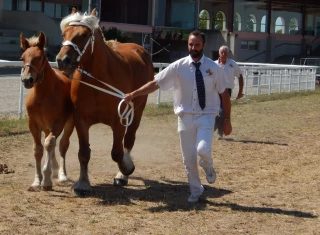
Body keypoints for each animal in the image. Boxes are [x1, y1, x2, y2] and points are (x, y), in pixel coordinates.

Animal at [20, 31, 74, 191]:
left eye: (39, 57)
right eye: (22, 58)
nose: (27, 80)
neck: (43, 96)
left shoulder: (58, 123)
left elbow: (50, 144)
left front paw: (47, 180)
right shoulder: (33, 124)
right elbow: (38, 149)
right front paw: (37, 181)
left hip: (69, 123)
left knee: (62, 145)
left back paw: (62, 175)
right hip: (45, 126)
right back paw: (56, 170)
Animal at [56, 9, 154, 196]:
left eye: (84, 35)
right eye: (64, 34)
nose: (62, 60)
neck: (99, 80)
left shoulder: (119, 121)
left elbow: (117, 153)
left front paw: (126, 169)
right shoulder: (81, 120)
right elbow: (84, 153)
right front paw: (82, 183)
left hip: (137, 112)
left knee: (129, 141)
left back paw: (123, 175)